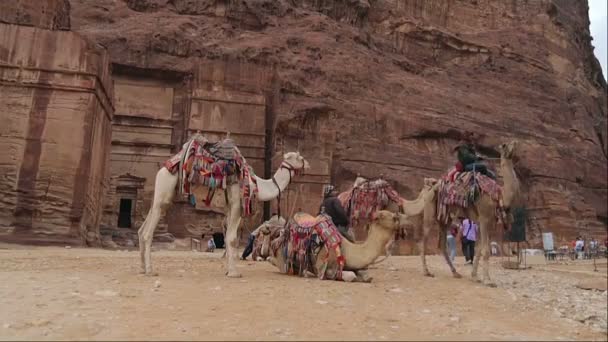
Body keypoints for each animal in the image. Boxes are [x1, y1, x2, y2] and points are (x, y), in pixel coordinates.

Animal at [138, 135, 308, 276]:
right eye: (300, 157)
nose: (308, 164)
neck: (257, 184)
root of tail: (163, 169)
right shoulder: (237, 205)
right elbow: (232, 238)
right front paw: (234, 273)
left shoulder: (229, 209)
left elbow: (228, 237)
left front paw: (228, 270)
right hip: (165, 190)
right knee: (148, 232)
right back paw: (150, 271)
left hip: (160, 195)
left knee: (142, 228)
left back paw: (142, 268)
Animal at [268, 210, 406, 282]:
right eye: (394, 217)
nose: (402, 218)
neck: (347, 250)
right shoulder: (323, 267)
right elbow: (349, 276)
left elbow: (367, 276)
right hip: (282, 259)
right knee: (276, 262)